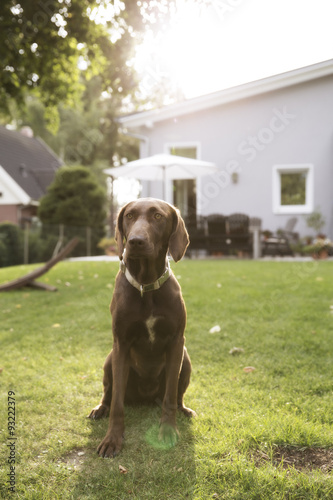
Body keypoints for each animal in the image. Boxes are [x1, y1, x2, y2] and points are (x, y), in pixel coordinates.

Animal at [89, 196, 196, 458]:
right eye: (129, 216)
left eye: (158, 216)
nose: (136, 241)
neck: (146, 285)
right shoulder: (121, 344)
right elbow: (117, 403)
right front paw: (112, 439)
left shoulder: (177, 342)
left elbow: (170, 397)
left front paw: (167, 430)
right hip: (109, 359)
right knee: (108, 393)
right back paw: (100, 408)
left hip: (186, 359)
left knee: (177, 396)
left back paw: (184, 410)